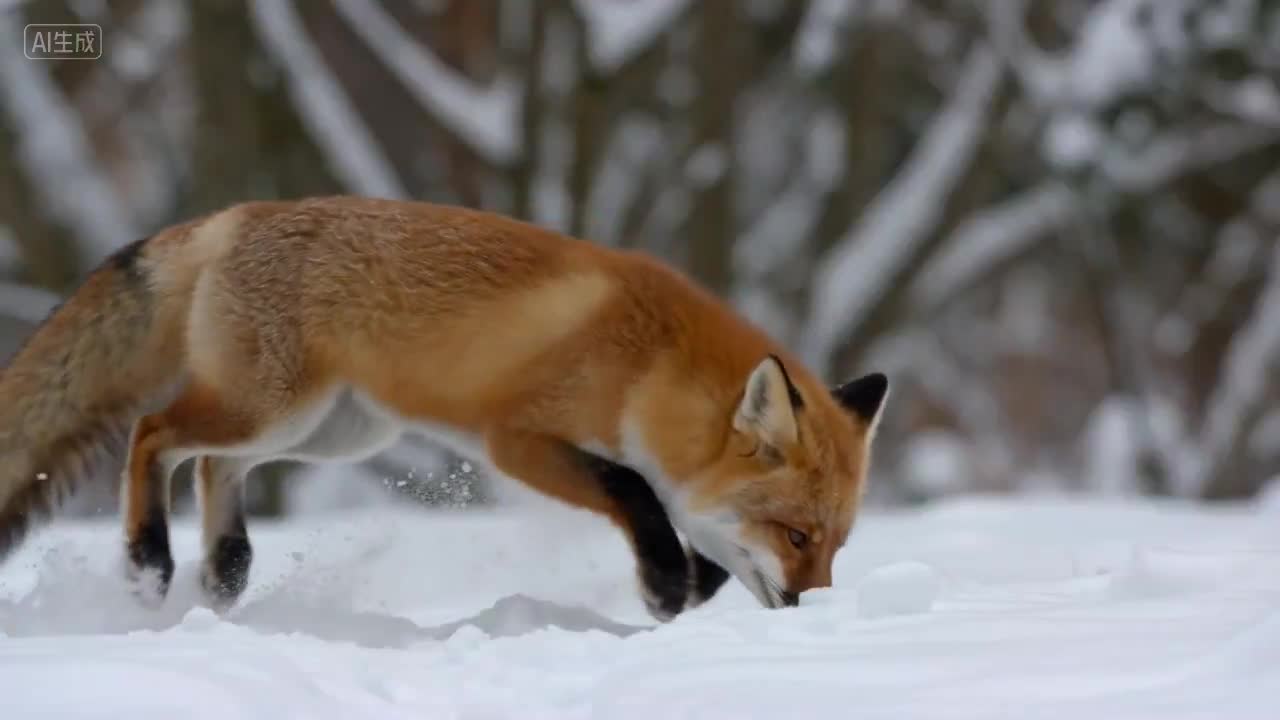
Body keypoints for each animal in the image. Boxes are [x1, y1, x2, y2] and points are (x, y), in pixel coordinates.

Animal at [0, 196, 888, 620]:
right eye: (797, 536)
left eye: (835, 546)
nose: (815, 606)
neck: (647, 367)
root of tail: (232, 217)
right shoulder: (515, 440)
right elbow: (633, 492)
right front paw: (667, 586)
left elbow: (688, 530)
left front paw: (679, 583)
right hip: (275, 411)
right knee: (152, 435)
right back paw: (149, 561)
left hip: (332, 431)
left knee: (212, 466)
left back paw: (223, 572)